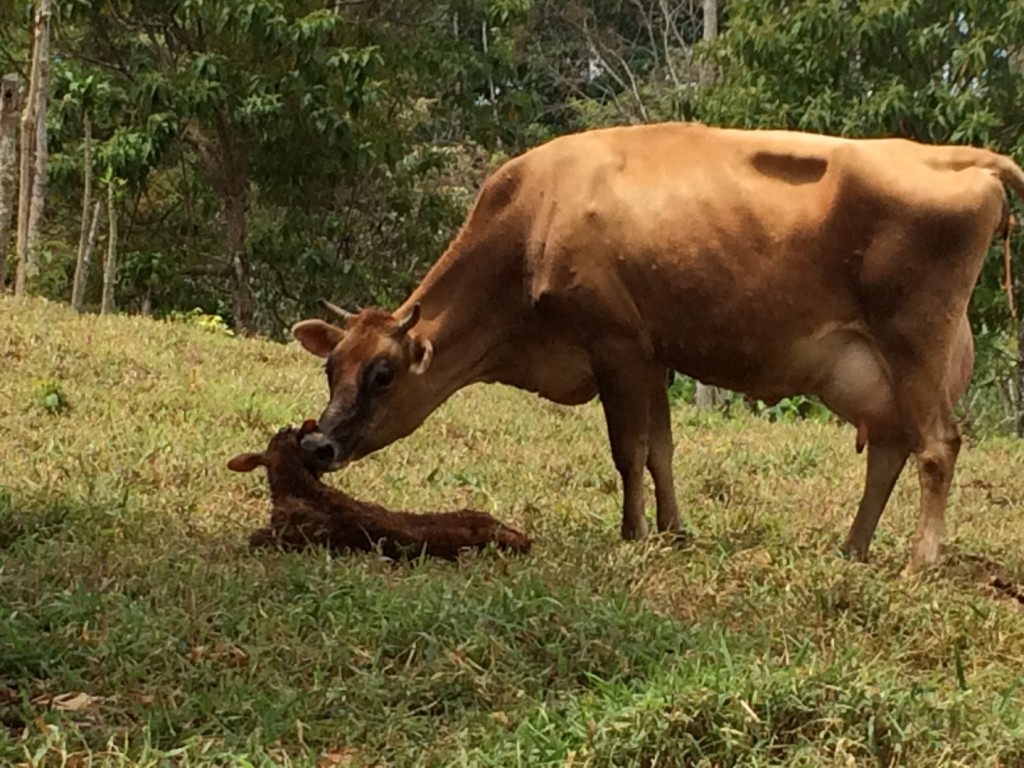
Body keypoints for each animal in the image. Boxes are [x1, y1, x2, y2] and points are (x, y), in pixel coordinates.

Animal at [290, 122, 1024, 572]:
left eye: (383, 374)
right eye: (330, 368)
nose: (317, 445)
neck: (531, 222)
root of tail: (958, 155)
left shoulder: (613, 342)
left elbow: (629, 450)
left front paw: (632, 534)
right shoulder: (654, 354)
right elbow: (662, 450)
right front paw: (674, 531)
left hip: (916, 340)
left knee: (937, 446)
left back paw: (919, 561)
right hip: (879, 369)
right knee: (891, 452)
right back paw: (853, 548)